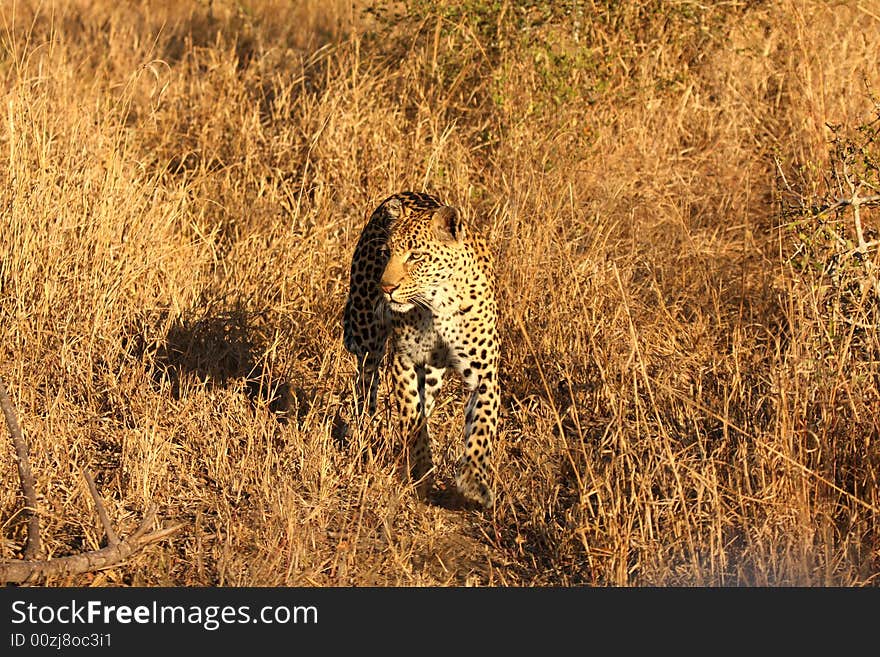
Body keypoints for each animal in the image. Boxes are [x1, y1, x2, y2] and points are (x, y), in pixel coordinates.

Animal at [340, 190, 498, 508]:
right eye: (386, 253)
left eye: (416, 256)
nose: (386, 288)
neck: (442, 303)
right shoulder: (405, 361)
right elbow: (413, 418)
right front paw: (424, 467)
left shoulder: (485, 374)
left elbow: (482, 426)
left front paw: (474, 481)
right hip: (366, 332)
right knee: (366, 379)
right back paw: (366, 432)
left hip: (434, 372)